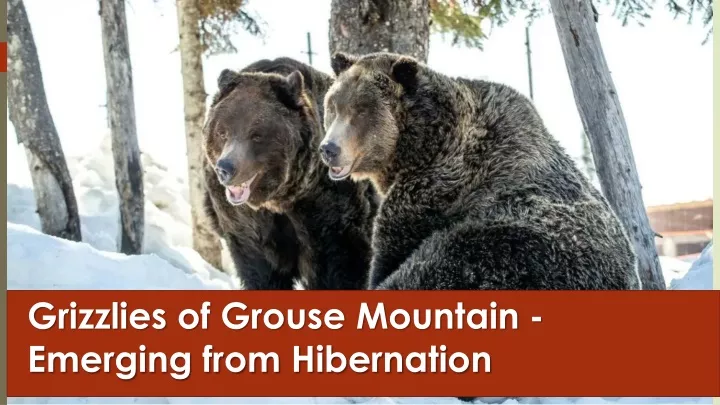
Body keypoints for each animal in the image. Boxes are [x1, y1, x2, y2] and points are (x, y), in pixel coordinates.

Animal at [202, 57, 376, 290]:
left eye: (257, 135)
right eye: (222, 132)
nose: (226, 167)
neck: (280, 198)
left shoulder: (327, 209)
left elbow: (340, 266)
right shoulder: (245, 221)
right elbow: (259, 269)